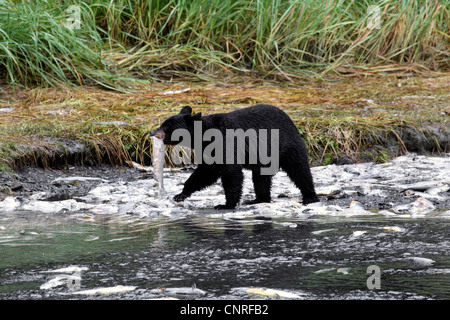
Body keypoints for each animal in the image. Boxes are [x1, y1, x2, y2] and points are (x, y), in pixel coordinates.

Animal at [151, 104, 320, 210]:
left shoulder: (226, 143)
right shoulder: (209, 150)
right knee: (261, 178)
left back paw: (310, 196)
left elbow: (231, 173)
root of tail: (291, 120)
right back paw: (258, 199)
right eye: (163, 123)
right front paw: (181, 194)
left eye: (166, 126)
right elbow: (206, 172)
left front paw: (226, 204)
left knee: (299, 170)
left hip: (288, 146)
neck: (203, 137)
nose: (152, 132)